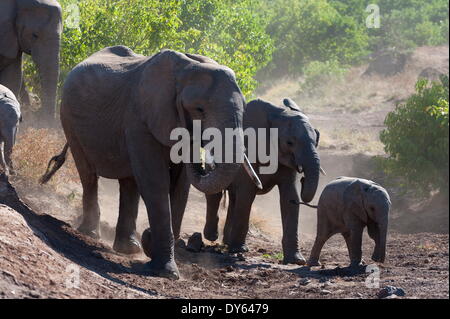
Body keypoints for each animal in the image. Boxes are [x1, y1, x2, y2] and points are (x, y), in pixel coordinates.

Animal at [42, 45, 260, 280]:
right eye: (199, 109)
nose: (196, 141)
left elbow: (180, 188)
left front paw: (151, 247)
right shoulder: (140, 119)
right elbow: (156, 182)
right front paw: (167, 272)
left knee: (129, 183)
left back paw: (129, 248)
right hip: (69, 121)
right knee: (89, 175)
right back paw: (90, 234)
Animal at [202, 99, 322, 266]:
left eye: (316, 140)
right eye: (289, 142)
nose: (303, 177)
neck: (277, 114)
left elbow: (290, 197)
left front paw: (296, 260)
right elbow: (247, 194)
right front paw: (239, 250)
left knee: (234, 198)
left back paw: (226, 242)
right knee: (216, 193)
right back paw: (213, 237)